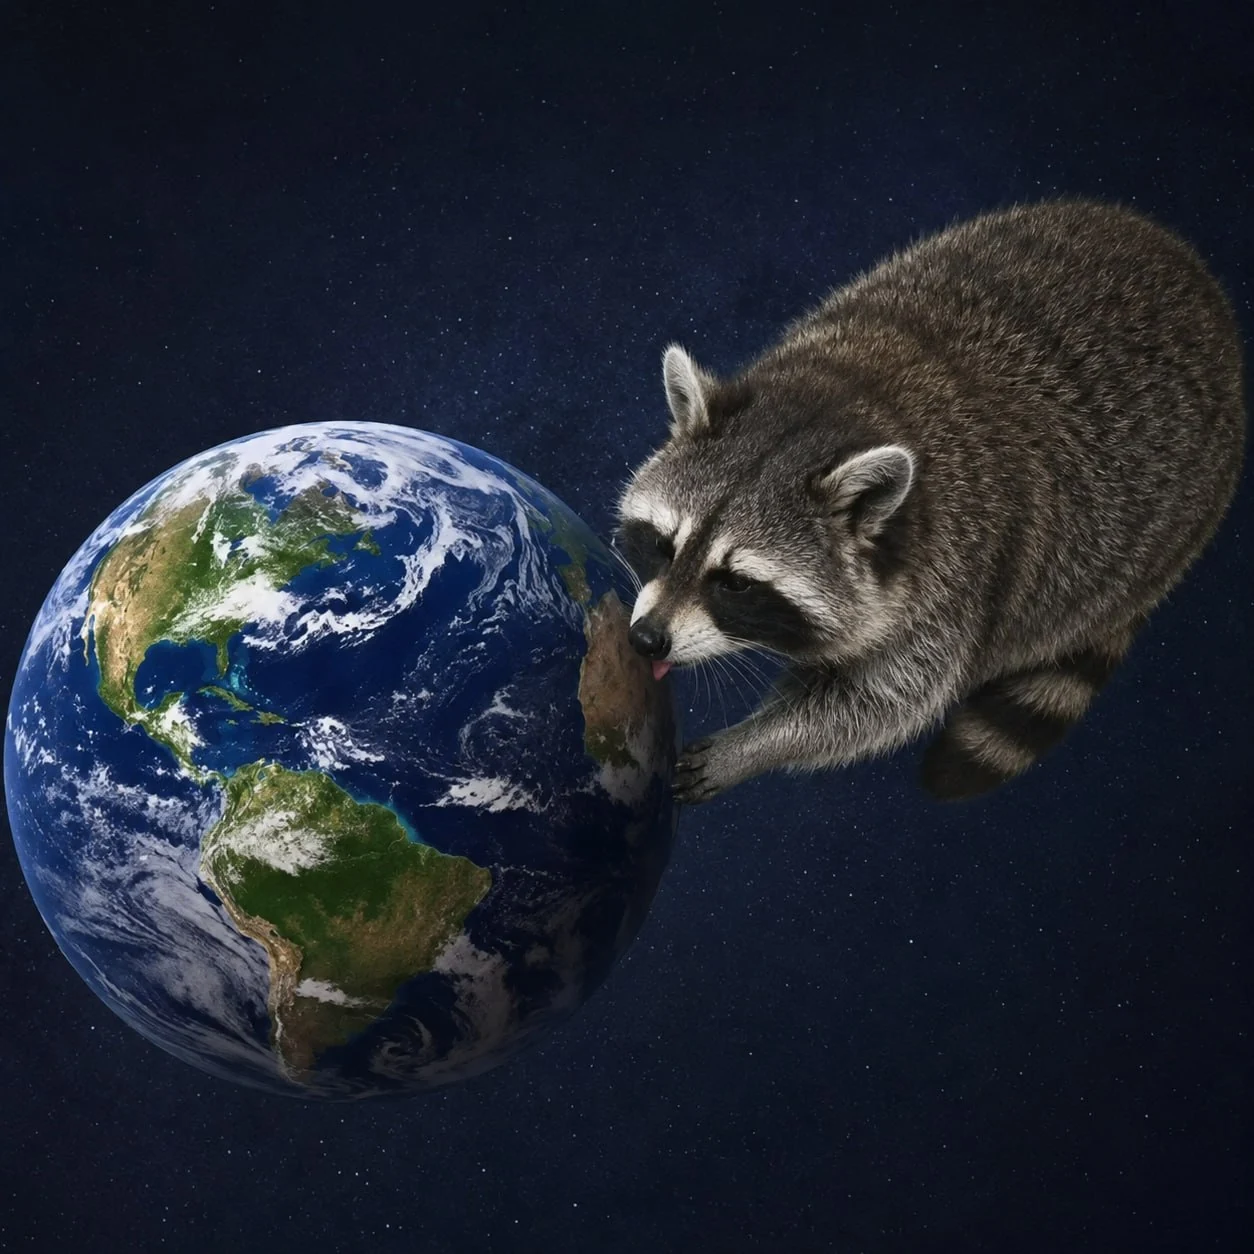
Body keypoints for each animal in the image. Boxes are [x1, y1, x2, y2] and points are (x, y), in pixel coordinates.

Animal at [615, 199, 1245, 804]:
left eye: (737, 583)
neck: (845, 402)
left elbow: (884, 701)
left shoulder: (955, 577)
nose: (646, 639)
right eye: (663, 545)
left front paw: (753, 745)